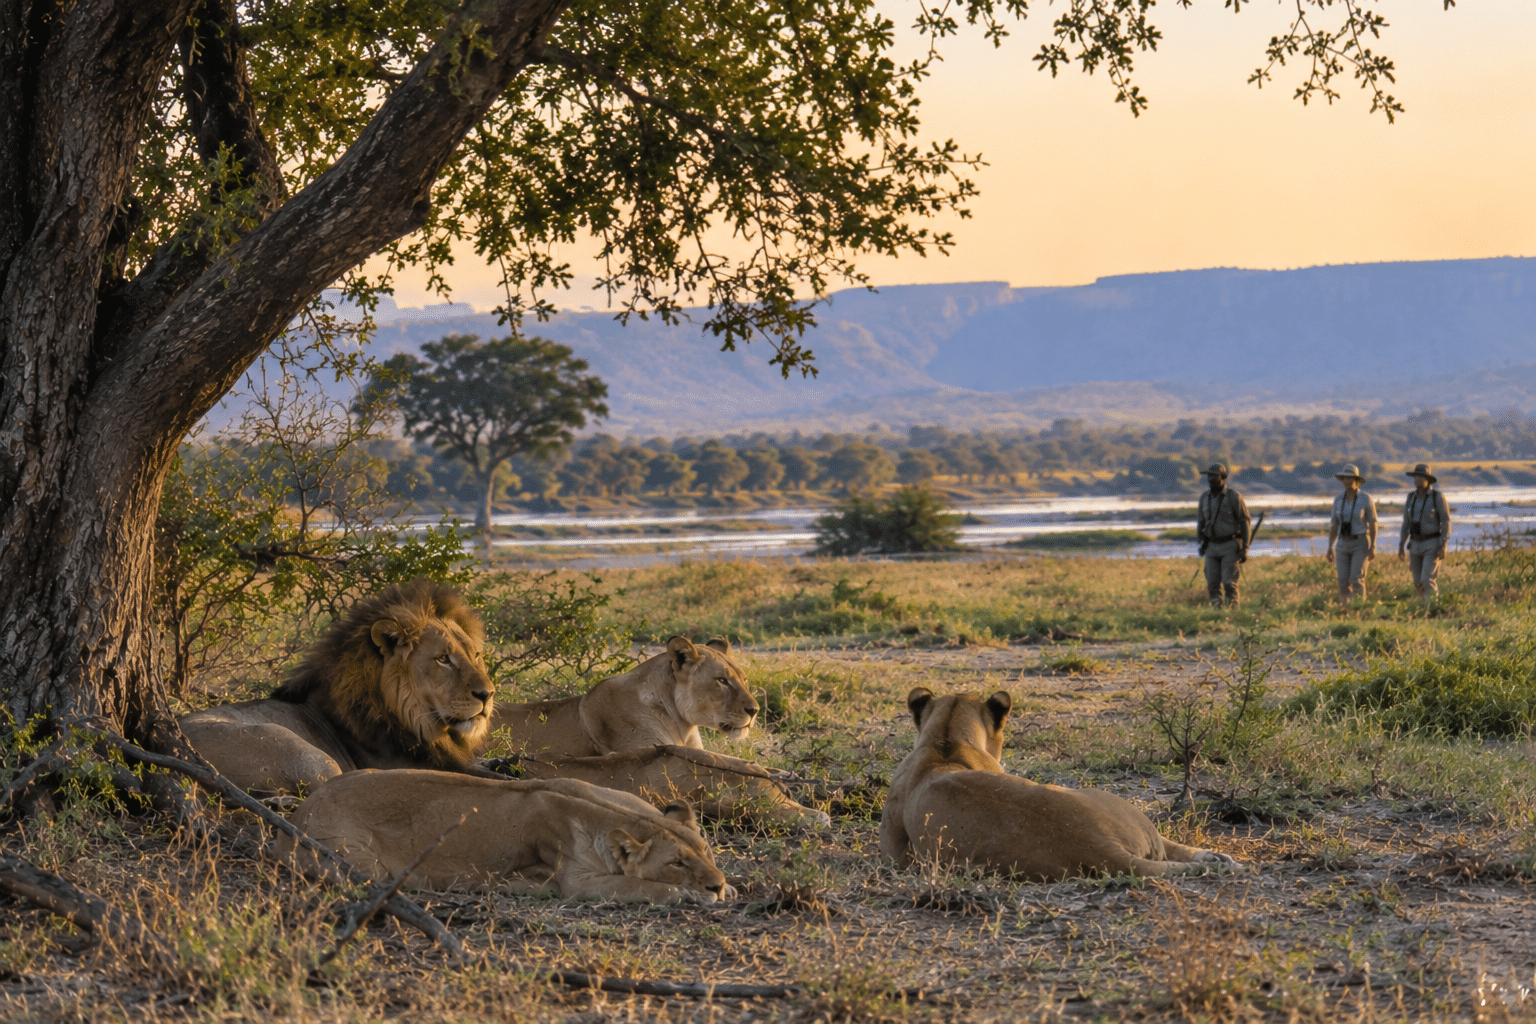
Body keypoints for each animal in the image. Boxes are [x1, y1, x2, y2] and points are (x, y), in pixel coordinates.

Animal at [273, 769, 733, 904]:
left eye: (707, 852)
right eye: (676, 863)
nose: (717, 885)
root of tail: (299, 811)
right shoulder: (575, 882)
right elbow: (640, 886)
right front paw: (690, 894)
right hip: (361, 862)